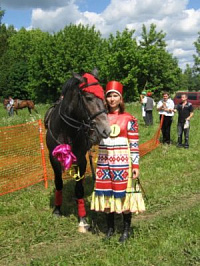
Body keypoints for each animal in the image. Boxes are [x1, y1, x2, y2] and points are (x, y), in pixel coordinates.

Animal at [45, 69, 111, 232]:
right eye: (88, 97)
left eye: (103, 95)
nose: (106, 129)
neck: (65, 130)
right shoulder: (53, 158)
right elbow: (58, 183)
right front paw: (57, 210)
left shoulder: (80, 159)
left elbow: (79, 189)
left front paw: (82, 219)